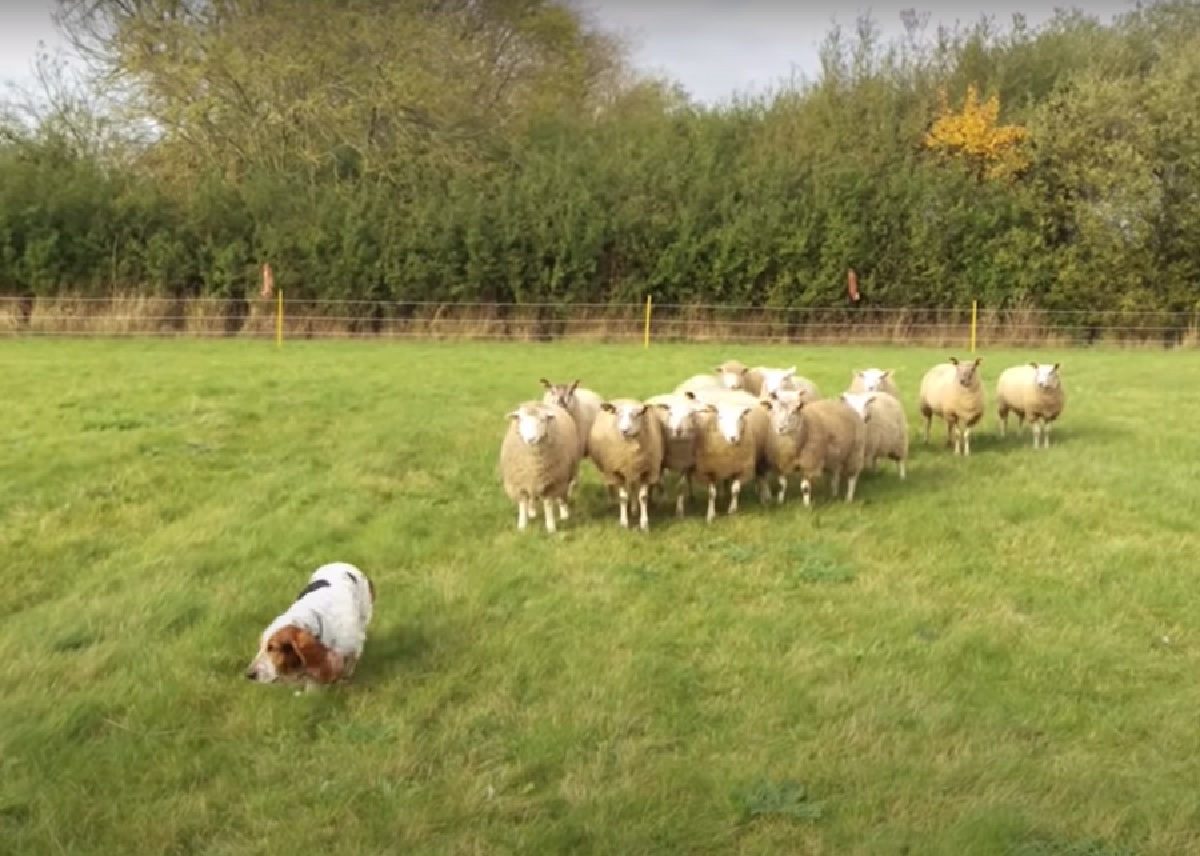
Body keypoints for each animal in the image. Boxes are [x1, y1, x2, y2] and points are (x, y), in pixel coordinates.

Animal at [501, 396, 580, 530]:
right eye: (521, 419)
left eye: (542, 420)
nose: (531, 439)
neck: (533, 463)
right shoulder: (520, 482)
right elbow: (522, 504)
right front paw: (522, 526)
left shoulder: (551, 483)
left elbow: (548, 506)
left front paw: (551, 527)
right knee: (531, 498)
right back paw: (532, 511)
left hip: (566, 476)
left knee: (562, 496)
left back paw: (564, 513)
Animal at [588, 398, 667, 530]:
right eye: (617, 413)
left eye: (638, 414)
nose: (624, 430)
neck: (630, 451)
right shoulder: (617, 471)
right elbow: (623, 498)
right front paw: (624, 522)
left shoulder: (646, 471)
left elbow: (643, 497)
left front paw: (644, 523)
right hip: (610, 470)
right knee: (611, 486)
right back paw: (613, 502)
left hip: (634, 470)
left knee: (634, 486)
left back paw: (635, 509)